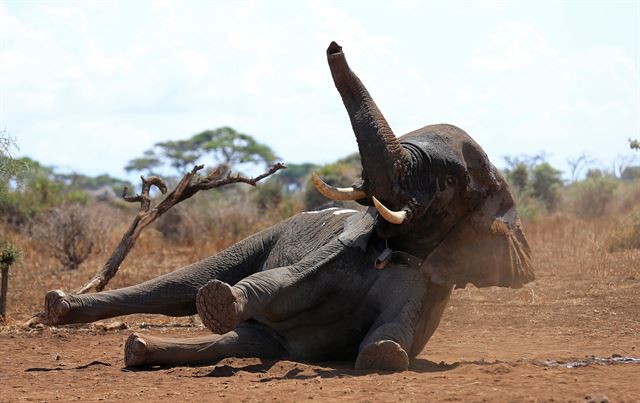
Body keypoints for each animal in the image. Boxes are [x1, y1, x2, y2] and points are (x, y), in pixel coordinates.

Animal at [37, 41, 532, 372]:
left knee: (238, 341)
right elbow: (276, 281)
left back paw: (139, 348)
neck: (393, 245)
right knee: (177, 288)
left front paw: (382, 351)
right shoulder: (343, 244)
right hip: (266, 234)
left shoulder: (427, 278)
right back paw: (60, 306)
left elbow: (388, 347)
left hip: (268, 339)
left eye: (447, 181)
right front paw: (219, 298)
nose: (334, 44)